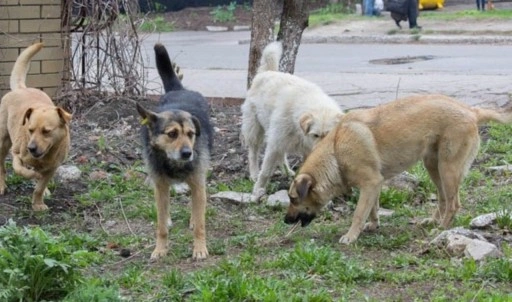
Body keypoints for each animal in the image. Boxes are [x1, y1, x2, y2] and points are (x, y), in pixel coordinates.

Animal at [0, 42, 72, 211]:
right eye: (30, 130)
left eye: (46, 131)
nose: (31, 148)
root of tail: (21, 88)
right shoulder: (16, 155)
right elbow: (21, 170)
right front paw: (32, 175)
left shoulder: (52, 168)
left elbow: (40, 187)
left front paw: (38, 203)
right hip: (3, 141)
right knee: (1, 166)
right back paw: (1, 185)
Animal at [135, 43, 213, 260]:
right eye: (172, 134)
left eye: (191, 134)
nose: (188, 153)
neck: (174, 163)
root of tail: (180, 90)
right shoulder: (160, 185)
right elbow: (161, 225)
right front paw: (160, 249)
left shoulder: (198, 182)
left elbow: (201, 224)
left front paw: (199, 248)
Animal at [284, 95, 512, 244]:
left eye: (293, 199)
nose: (285, 220)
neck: (336, 151)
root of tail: (471, 111)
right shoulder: (373, 185)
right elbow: (372, 208)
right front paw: (373, 225)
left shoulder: (370, 183)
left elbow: (359, 213)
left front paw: (351, 236)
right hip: (434, 167)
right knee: (443, 199)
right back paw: (433, 221)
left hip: (448, 169)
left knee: (454, 203)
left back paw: (442, 227)